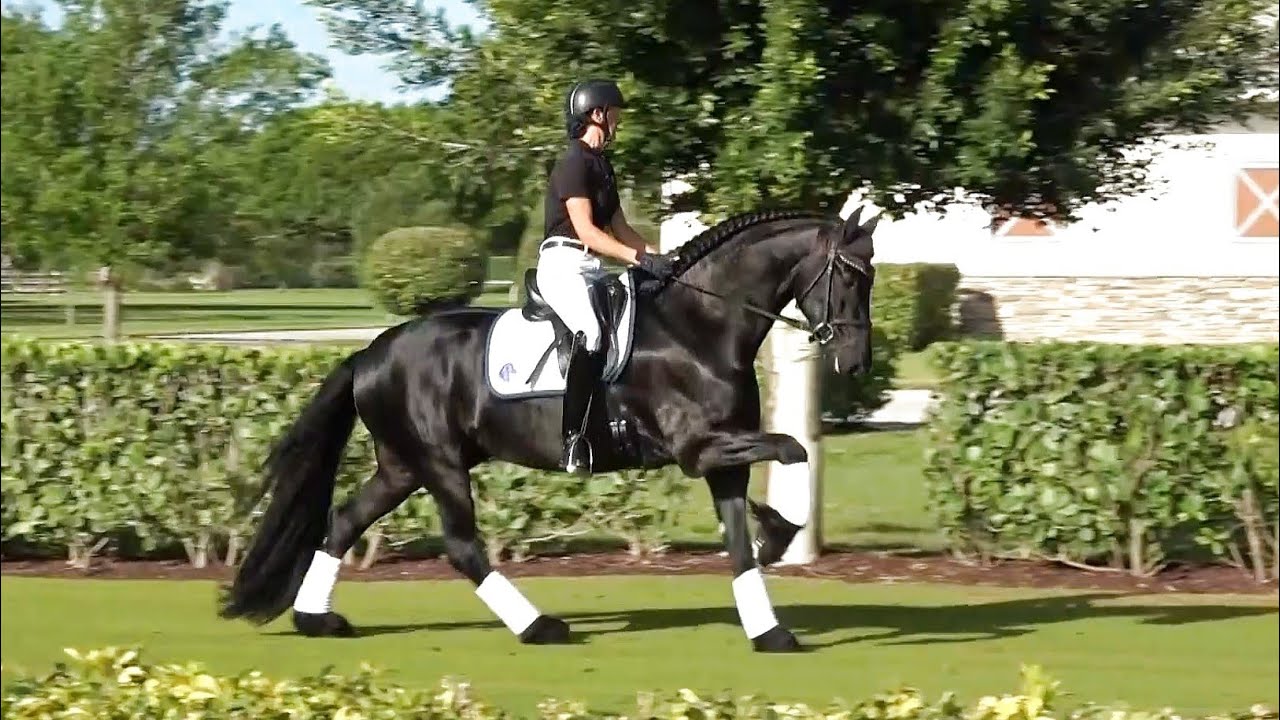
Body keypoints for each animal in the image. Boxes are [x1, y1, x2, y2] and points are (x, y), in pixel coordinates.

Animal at [217, 205, 880, 653]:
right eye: (849, 276)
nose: (856, 362)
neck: (699, 328)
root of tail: (370, 353)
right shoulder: (697, 450)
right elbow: (792, 449)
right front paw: (781, 533)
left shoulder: (723, 458)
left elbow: (742, 540)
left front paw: (770, 626)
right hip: (439, 463)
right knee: (461, 545)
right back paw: (539, 626)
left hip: (403, 466)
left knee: (343, 523)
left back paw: (317, 619)